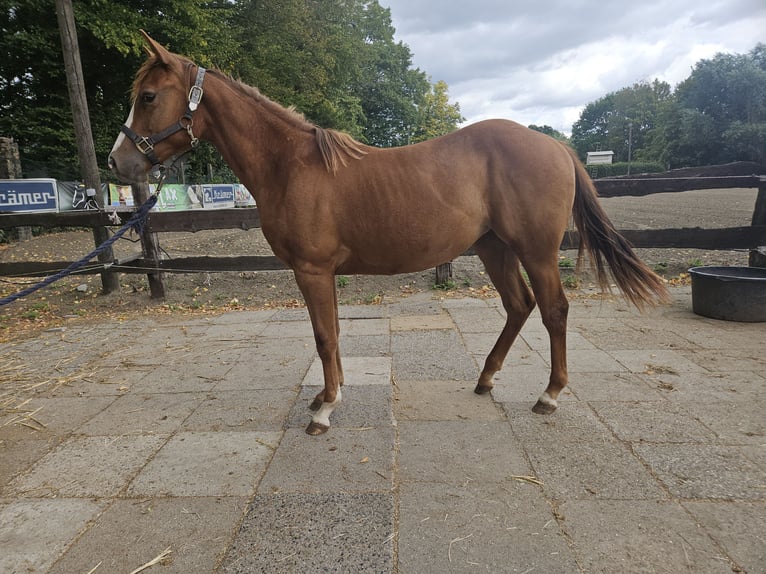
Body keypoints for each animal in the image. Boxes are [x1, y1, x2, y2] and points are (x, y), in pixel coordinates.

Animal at [109, 31, 668, 435]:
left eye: (149, 96)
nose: (119, 162)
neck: (290, 165)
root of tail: (555, 145)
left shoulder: (313, 271)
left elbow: (325, 337)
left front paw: (324, 410)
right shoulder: (321, 273)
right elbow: (331, 335)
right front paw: (323, 397)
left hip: (536, 250)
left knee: (553, 309)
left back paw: (549, 396)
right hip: (495, 248)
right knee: (519, 306)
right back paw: (486, 379)